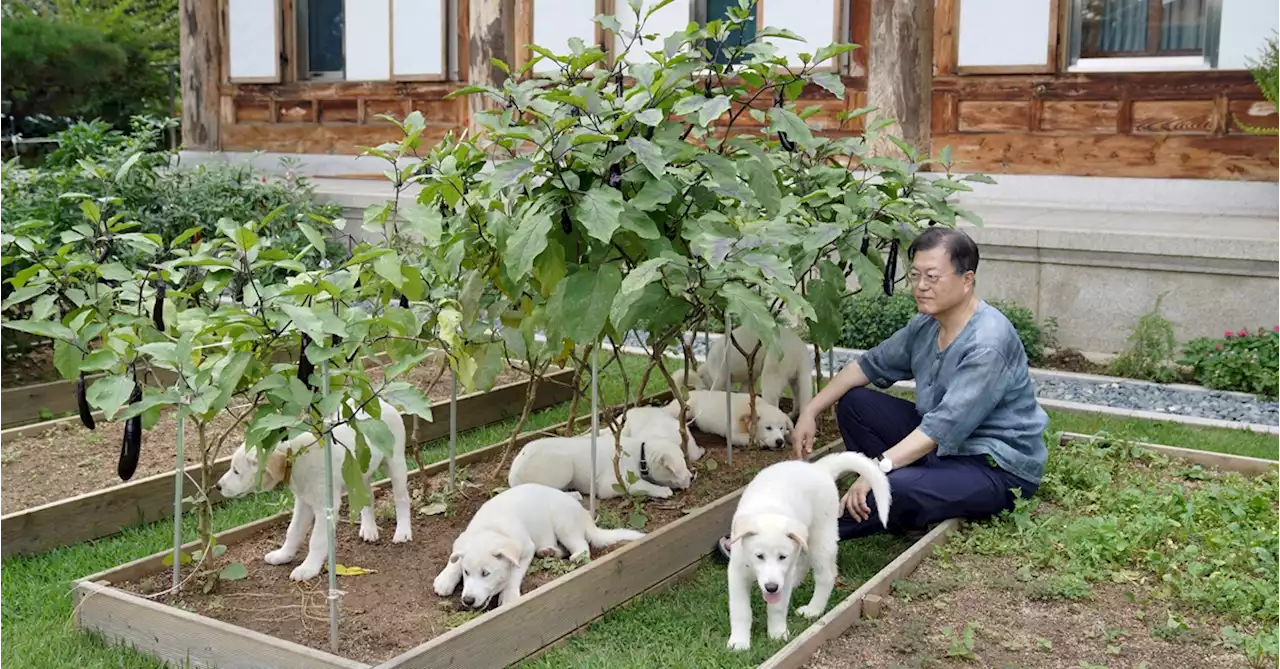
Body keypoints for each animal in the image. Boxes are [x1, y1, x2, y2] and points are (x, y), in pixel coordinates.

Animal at [215, 401, 412, 583]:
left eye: (236, 471)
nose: (217, 486)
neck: (294, 458)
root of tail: (382, 403)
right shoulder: (303, 502)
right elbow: (293, 532)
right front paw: (283, 555)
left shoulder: (325, 508)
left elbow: (316, 540)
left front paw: (308, 568)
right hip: (358, 473)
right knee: (367, 496)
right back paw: (369, 529)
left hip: (395, 463)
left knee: (402, 498)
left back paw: (403, 532)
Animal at [435, 483, 645, 608]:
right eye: (466, 573)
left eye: (486, 573)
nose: (467, 600)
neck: (491, 528)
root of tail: (585, 515)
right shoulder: (464, 540)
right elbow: (455, 559)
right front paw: (445, 579)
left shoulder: (526, 548)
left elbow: (515, 574)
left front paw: (509, 595)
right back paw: (548, 551)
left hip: (563, 522)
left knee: (582, 546)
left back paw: (575, 556)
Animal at [504, 432, 696, 498]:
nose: (693, 476)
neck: (640, 453)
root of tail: (513, 475)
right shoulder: (612, 484)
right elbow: (641, 485)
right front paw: (662, 491)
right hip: (564, 467)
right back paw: (574, 495)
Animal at [665, 386, 793, 450]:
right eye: (768, 428)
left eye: (781, 428)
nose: (780, 441)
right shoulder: (733, 435)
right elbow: (747, 438)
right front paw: (759, 442)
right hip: (685, 410)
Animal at [727, 452, 896, 652]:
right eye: (759, 556)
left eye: (782, 557)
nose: (771, 587)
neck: (769, 510)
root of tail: (819, 467)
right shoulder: (737, 572)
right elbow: (740, 610)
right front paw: (739, 642)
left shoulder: (784, 570)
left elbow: (777, 608)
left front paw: (777, 634)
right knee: (803, 563)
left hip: (821, 538)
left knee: (825, 575)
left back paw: (813, 610)